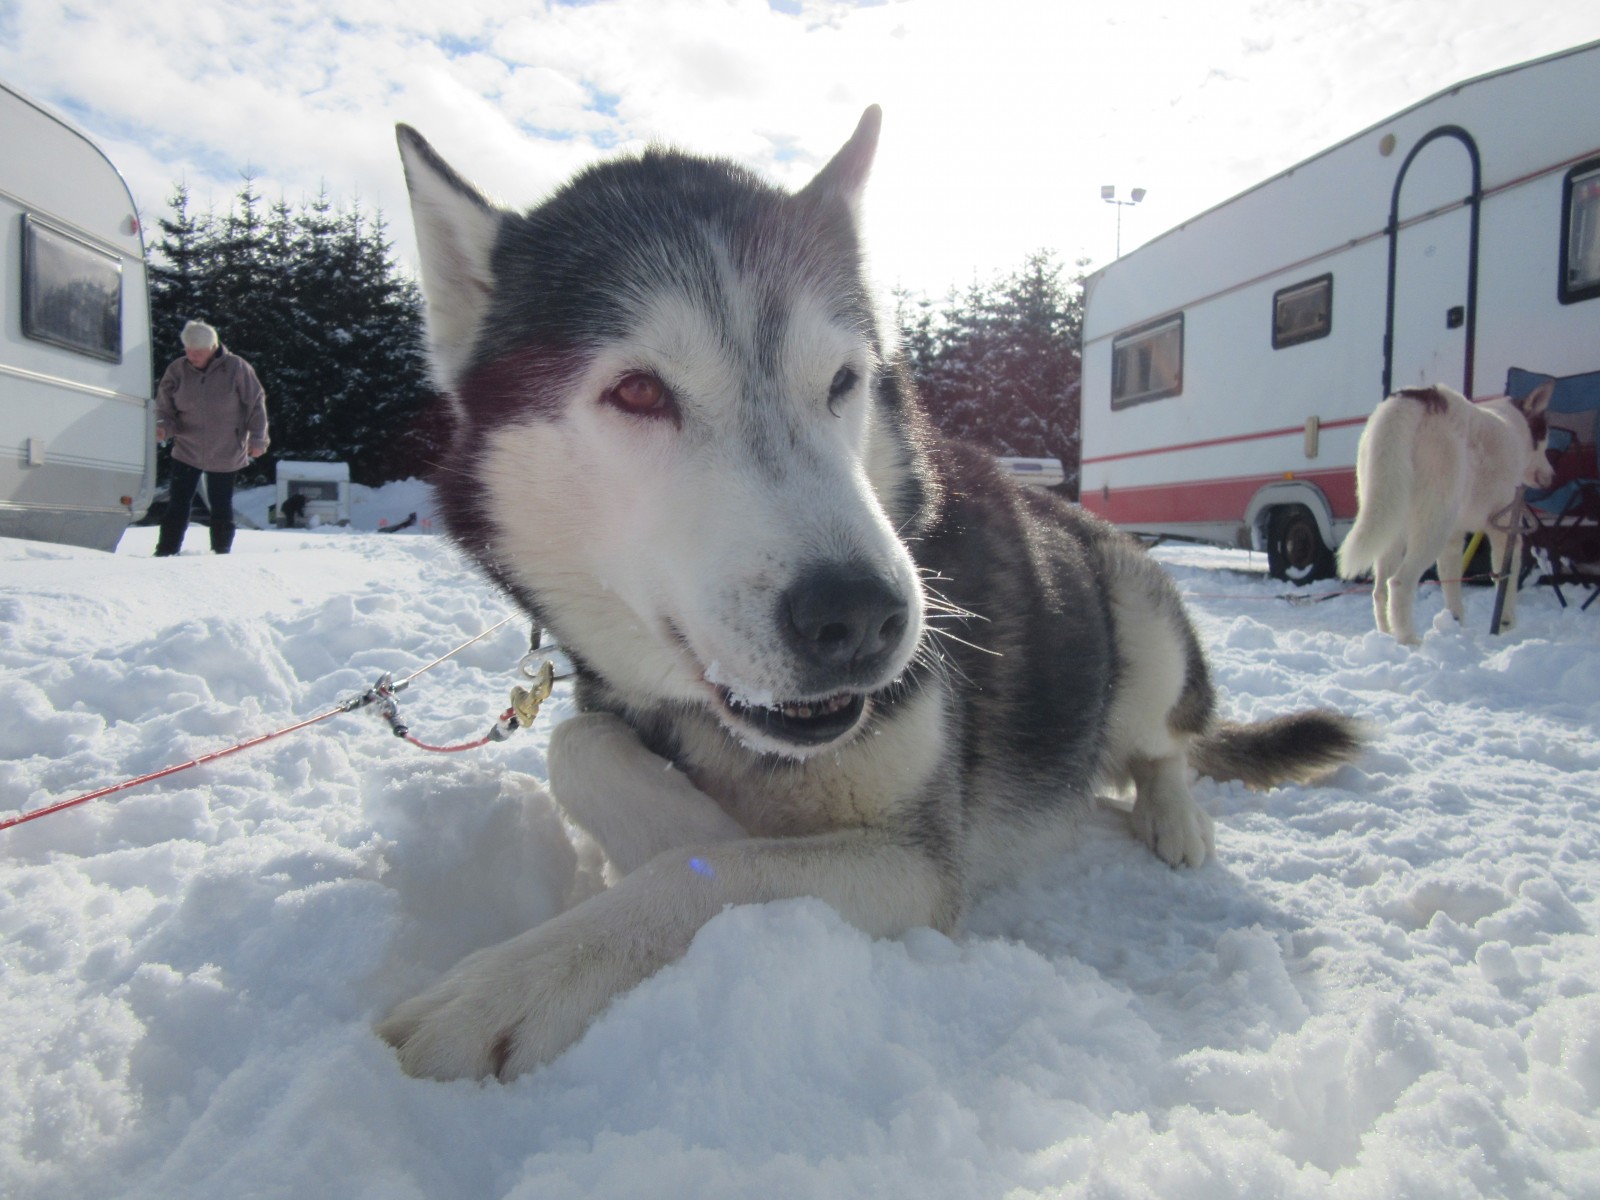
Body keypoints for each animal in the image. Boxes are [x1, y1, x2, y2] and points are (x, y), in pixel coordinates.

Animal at [377, 107, 1364, 1082]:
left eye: (843, 382)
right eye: (638, 390)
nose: (861, 618)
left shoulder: (913, 861)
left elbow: (719, 873)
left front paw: (510, 986)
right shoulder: (614, 704)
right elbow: (576, 745)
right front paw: (685, 823)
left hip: (1139, 618)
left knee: (1166, 746)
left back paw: (1173, 817)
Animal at [1337, 381, 1555, 645]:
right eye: (1544, 440)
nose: (1552, 476)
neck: (1514, 427)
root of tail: (1415, 398)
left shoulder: (1454, 537)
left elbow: (1452, 587)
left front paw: (1455, 626)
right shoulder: (1505, 530)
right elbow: (1506, 581)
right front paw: (1505, 626)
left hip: (1391, 521)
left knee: (1380, 591)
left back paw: (1387, 636)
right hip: (1432, 527)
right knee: (1399, 583)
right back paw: (1409, 641)